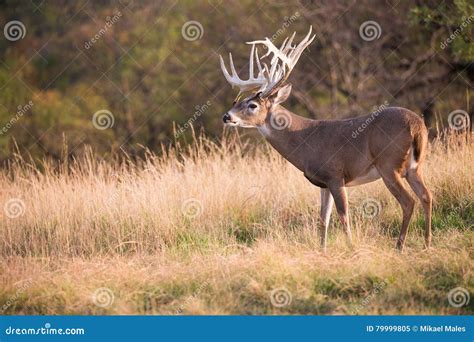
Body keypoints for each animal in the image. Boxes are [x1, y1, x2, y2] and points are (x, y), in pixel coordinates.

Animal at [219, 27, 434, 251]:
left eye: (252, 105)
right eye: (238, 102)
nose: (226, 116)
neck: (305, 139)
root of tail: (417, 125)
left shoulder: (335, 175)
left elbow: (343, 215)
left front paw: (351, 248)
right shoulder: (323, 183)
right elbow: (323, 218)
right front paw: (322, 250)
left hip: (388, 165)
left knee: (409, 202)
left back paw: (399, 246)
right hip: (414, 167)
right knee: (427, 196)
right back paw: (427, 243)